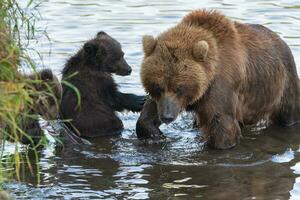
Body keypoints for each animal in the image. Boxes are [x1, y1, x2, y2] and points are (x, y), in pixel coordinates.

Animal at [136, 10, 300, 149]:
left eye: (179, 88)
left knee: (289, 112)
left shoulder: (221, 86)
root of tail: (281, 40)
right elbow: (149, 112)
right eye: (158, 87)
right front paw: (154, 134)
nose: (167, 116)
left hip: (282, 85)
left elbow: (222, 126)